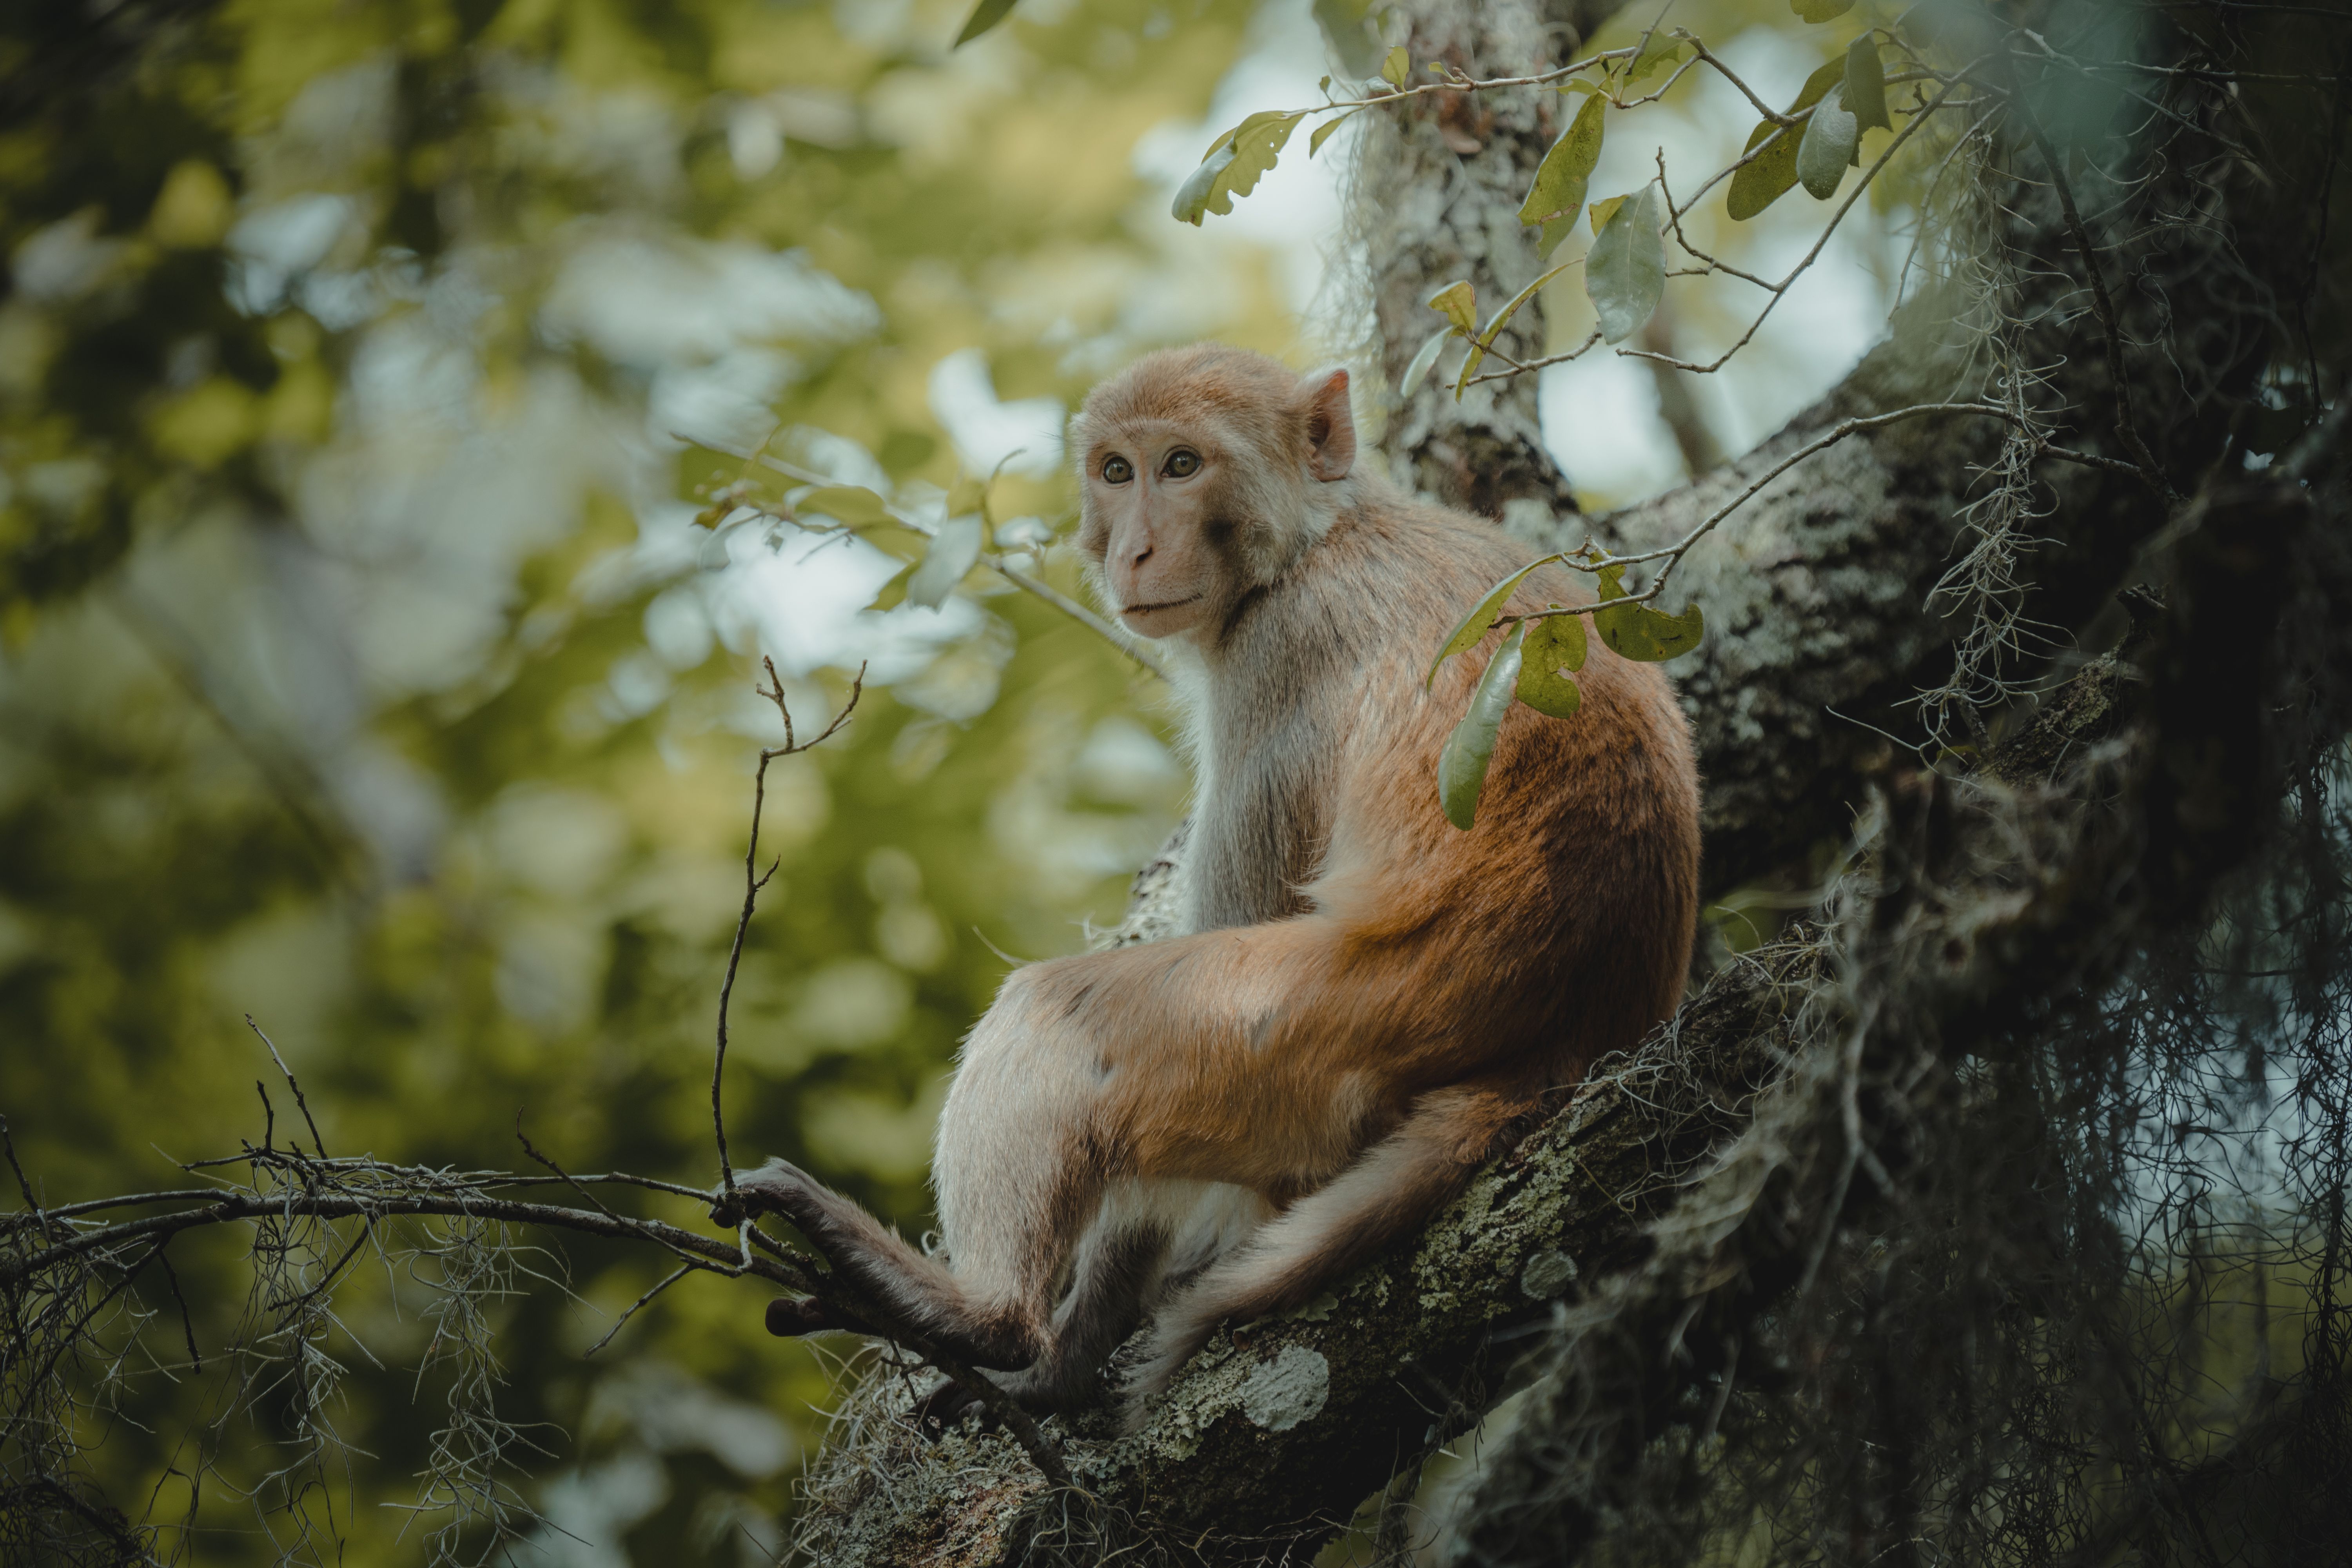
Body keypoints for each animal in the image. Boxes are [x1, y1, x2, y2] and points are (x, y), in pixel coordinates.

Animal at [734, 343, 1700, 1420]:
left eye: (1183, 465)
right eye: (1118, 472)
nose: (1135, 550)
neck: (1322, 536)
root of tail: (1561, 1045)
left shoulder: (1276, 658)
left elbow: (1234, 913)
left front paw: (1072, 1354)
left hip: (1298, 1039)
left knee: (1062, 1010)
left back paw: (987, 1317)